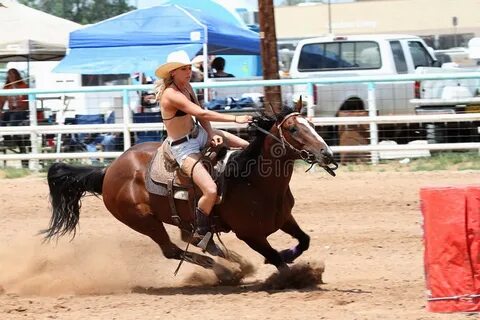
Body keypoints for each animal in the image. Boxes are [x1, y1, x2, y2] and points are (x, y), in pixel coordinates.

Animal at [45, 100, 338, 280]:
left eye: (312, 124)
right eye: (293, 128)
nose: (327, 154)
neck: (253, 181)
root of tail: (109, 171)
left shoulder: (285, 218)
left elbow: (304, 240)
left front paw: (289, 256)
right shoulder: (249, 234)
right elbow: (276, 258)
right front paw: (291, 273)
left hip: (182, 219)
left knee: (196, 238)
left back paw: (236, 263)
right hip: (144, 221)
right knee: (173, 250)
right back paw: (224, 271)